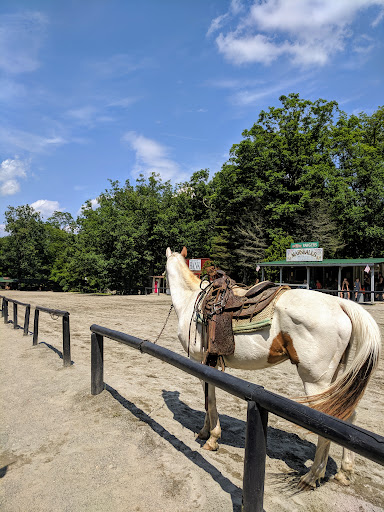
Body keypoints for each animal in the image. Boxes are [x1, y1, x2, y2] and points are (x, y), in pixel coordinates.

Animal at [165, 247, 380, 488]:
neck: (190, 300)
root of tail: (340, 304)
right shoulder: (209, 363)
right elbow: (207, 399)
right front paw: (204, 431)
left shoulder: (201, 361)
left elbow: (209, 400)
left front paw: (212, 438)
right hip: (334, 379)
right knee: (346, 415)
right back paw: (344, 472)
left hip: (316, 381)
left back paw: (312, 476)